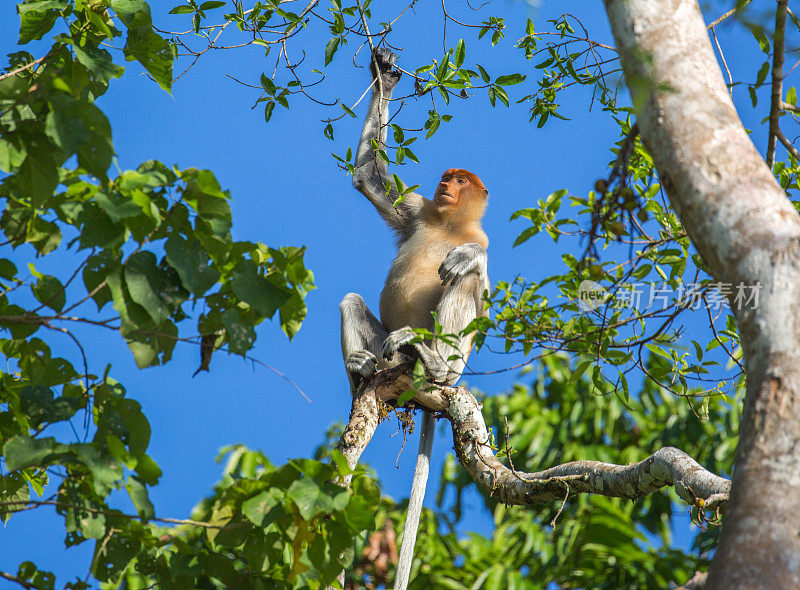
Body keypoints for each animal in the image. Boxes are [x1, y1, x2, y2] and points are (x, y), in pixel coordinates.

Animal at [338, 48, 488, 590]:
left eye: (462, 180)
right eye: (447, 177)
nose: (446, 183)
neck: (448, 221)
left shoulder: (482, 236)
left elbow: (480, 281)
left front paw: (465, 258)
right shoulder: (419, 208)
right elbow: (368, 178)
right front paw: (384, 75)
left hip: (458, 362)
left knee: (463, 289)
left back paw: (432, 361)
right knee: (352, 303)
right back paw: (365, 367)